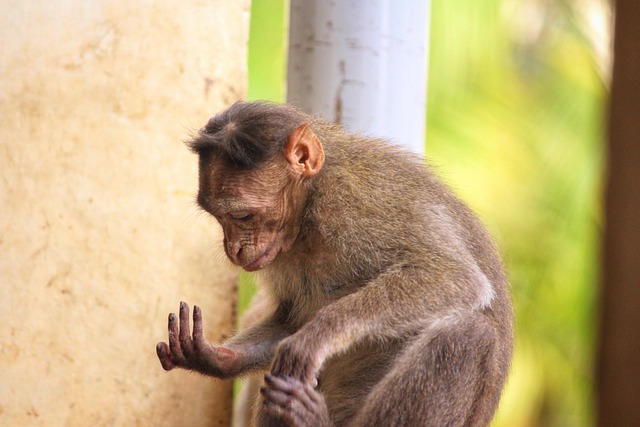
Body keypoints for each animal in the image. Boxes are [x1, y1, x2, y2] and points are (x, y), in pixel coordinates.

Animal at [156, 101, 516, 427]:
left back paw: (313, 420)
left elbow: (454, 276)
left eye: (241, 216)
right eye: (219, 218)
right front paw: (216, 360)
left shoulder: (356, 201)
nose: (233, 250)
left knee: (468, 333)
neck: (308, 214)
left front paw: (317, 335)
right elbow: (288, 322)